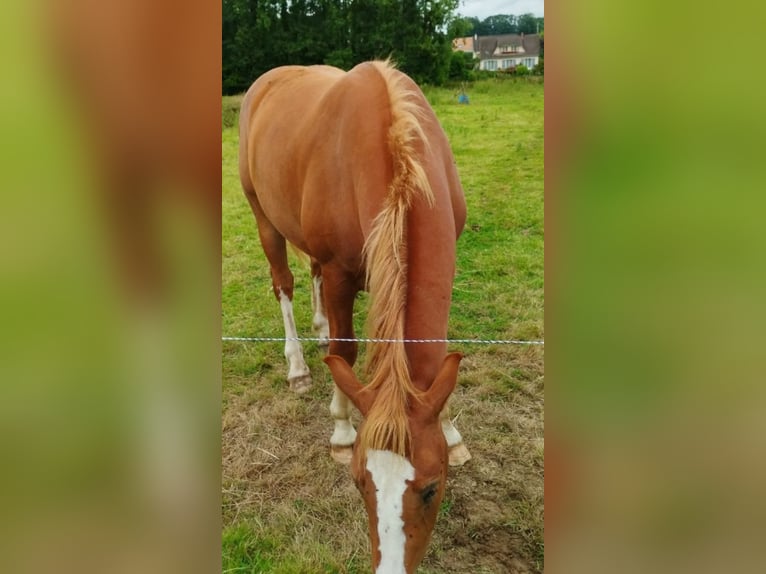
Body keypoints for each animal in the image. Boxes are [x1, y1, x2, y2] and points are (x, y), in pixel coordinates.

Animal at [238, 60, 468, 572]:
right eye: (361, 483)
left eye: (431, 488)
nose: (390, 569)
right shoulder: (341, 274)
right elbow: (346, 351)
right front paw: (342, 430)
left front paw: (450, 428)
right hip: (264, 218)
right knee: (284, 283)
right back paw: (299, 366)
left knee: (311, 276)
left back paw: (320, 330)